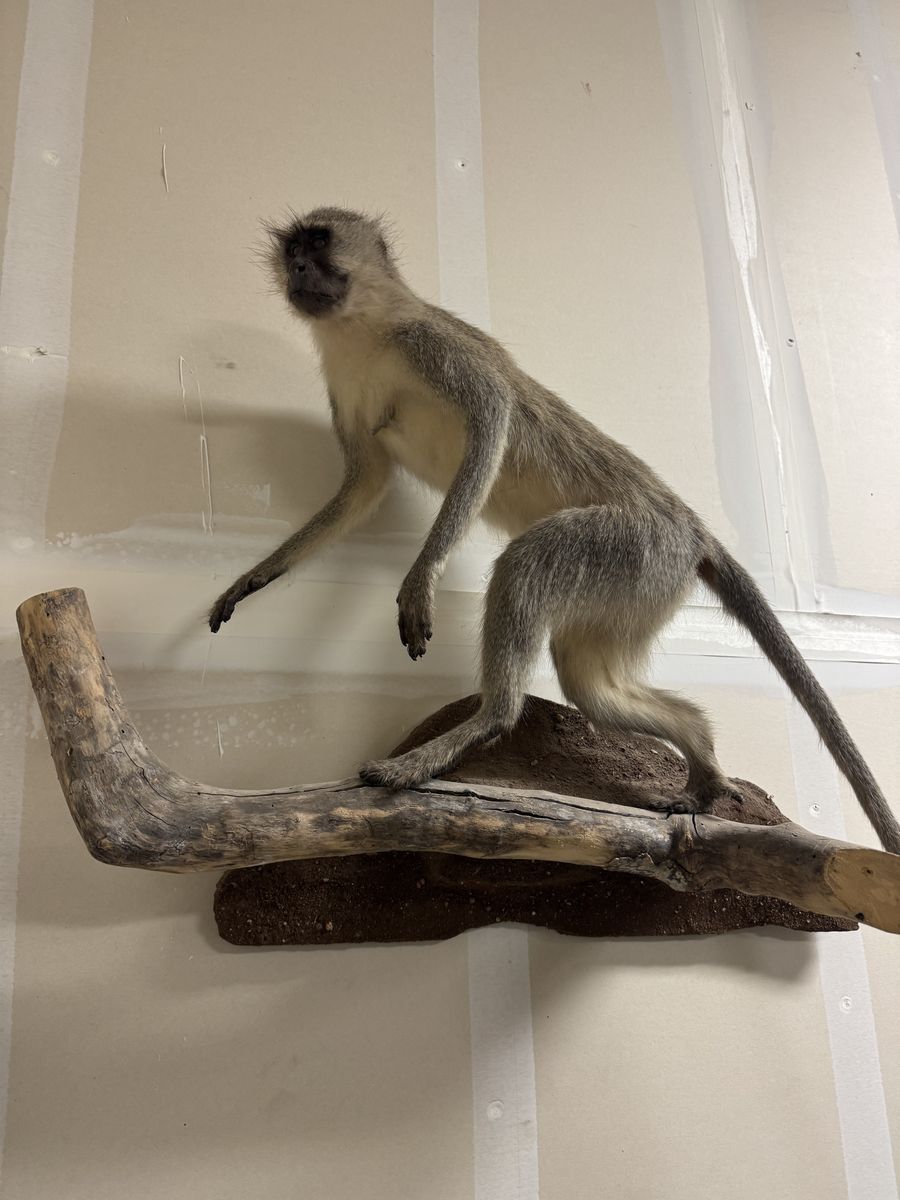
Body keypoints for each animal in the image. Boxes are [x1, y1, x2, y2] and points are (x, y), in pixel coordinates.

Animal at [208, 206, 900, 855]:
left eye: (319, 243)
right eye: (292, 251)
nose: (299, 269)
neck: (362, 327)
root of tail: (693, 528)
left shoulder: (429, 341)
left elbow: (493, 416)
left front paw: (420, 578)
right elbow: (362, 489)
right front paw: (255, 576)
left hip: (636, 546)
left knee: (529, 561)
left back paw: (479, 727)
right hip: (644, 584)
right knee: (591, 686)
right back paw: (700, 764)